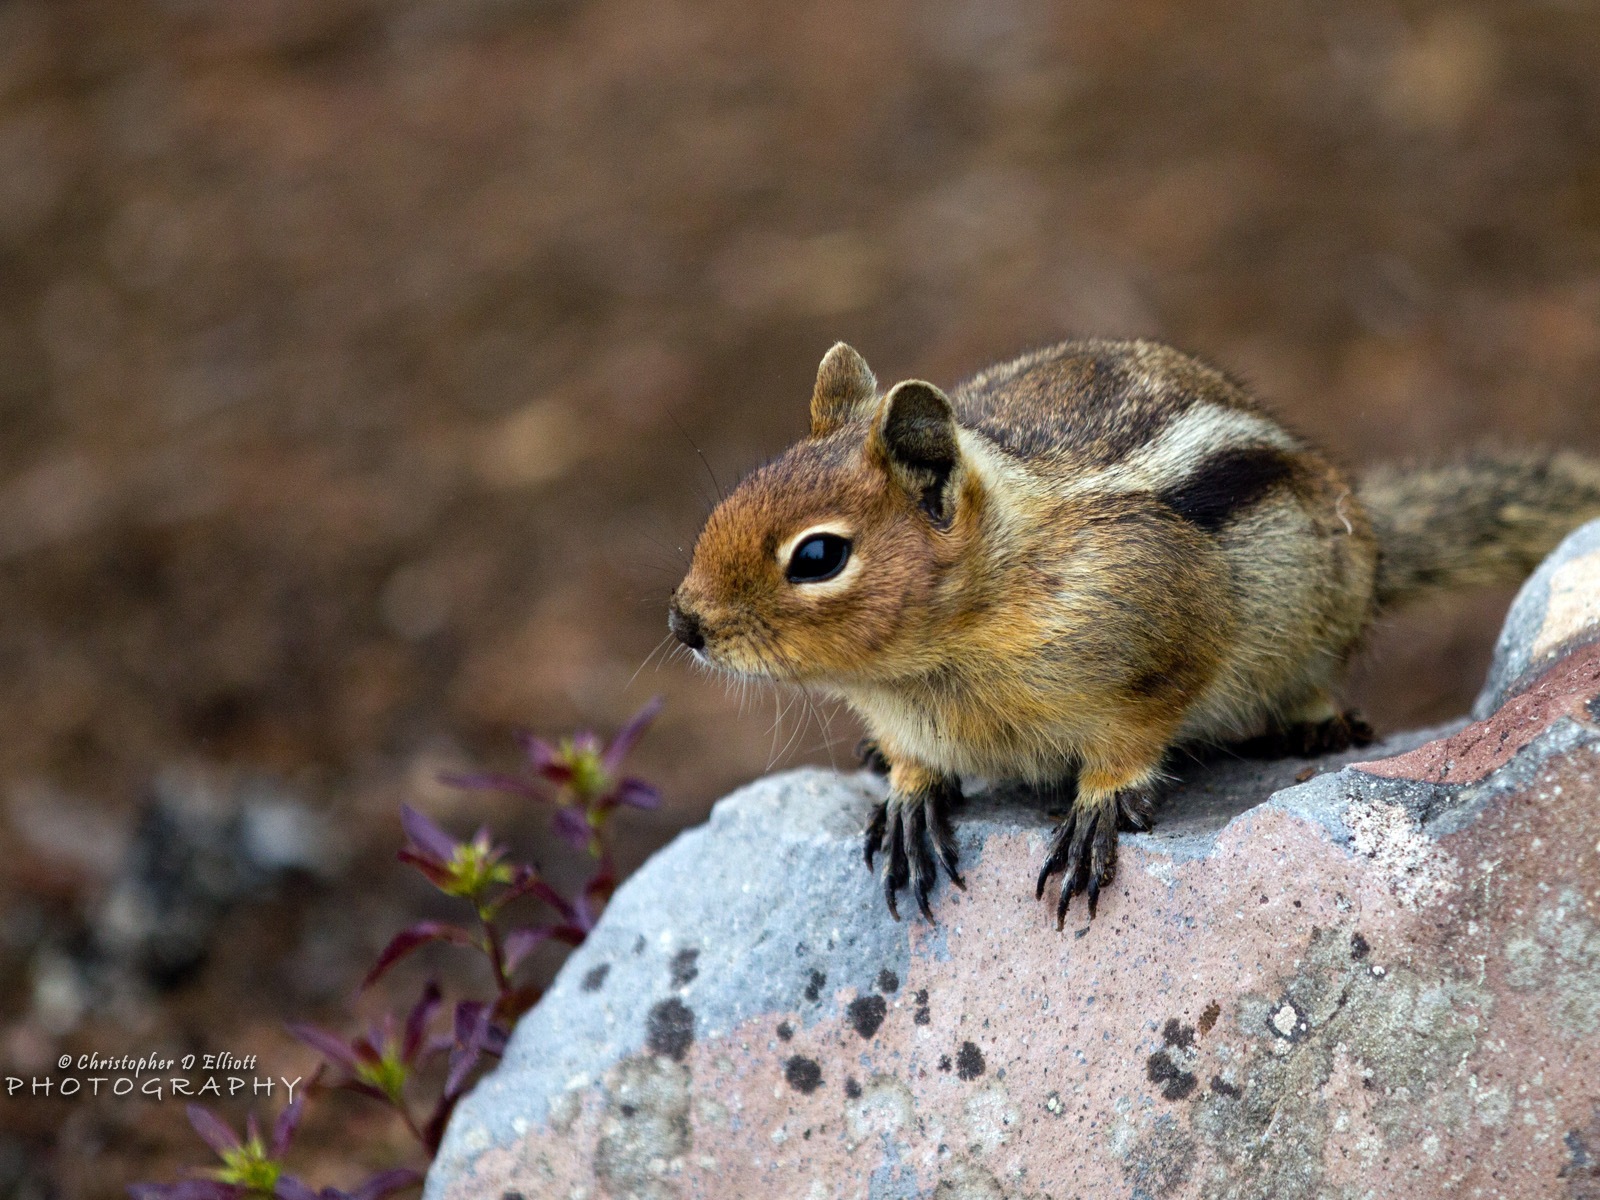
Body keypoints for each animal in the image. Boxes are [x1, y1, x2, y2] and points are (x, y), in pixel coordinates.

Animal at [665, 339, 1600, 928]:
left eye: (818, 555)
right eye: (737, 491)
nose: (682, 622)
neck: (934, 666)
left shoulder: (1162, 634)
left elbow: (1138, 732)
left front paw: (1098, 807)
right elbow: (910, 760)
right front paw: (907, 796)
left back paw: (1311, 722)